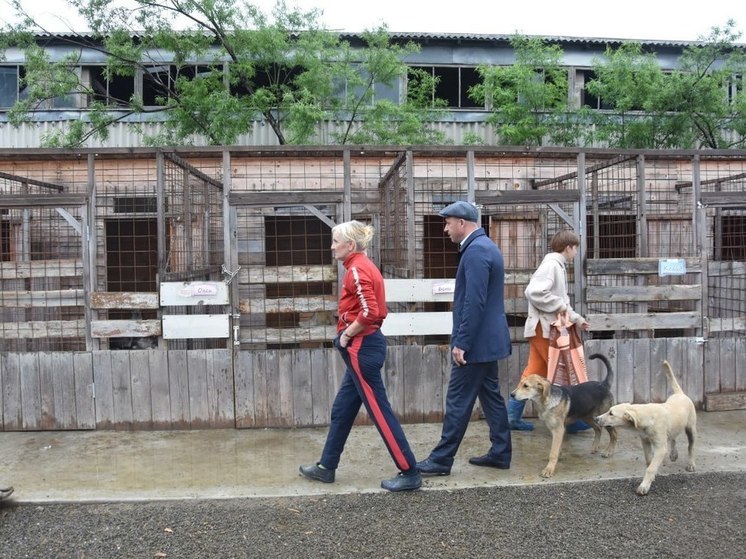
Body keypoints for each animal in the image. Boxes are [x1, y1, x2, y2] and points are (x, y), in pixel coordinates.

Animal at [592, 360, 692, 496]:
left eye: (611, 413)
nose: (596, 419)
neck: (647, 417)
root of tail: (680, 394)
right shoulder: (645, 441)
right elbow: (649, 461)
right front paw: (651, 478)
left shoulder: (660, 448)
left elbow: (651, 467)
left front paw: (644, 486)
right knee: (673, 437)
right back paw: (673, 454)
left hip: (691, 428)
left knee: (690, 447)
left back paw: (691, 464)